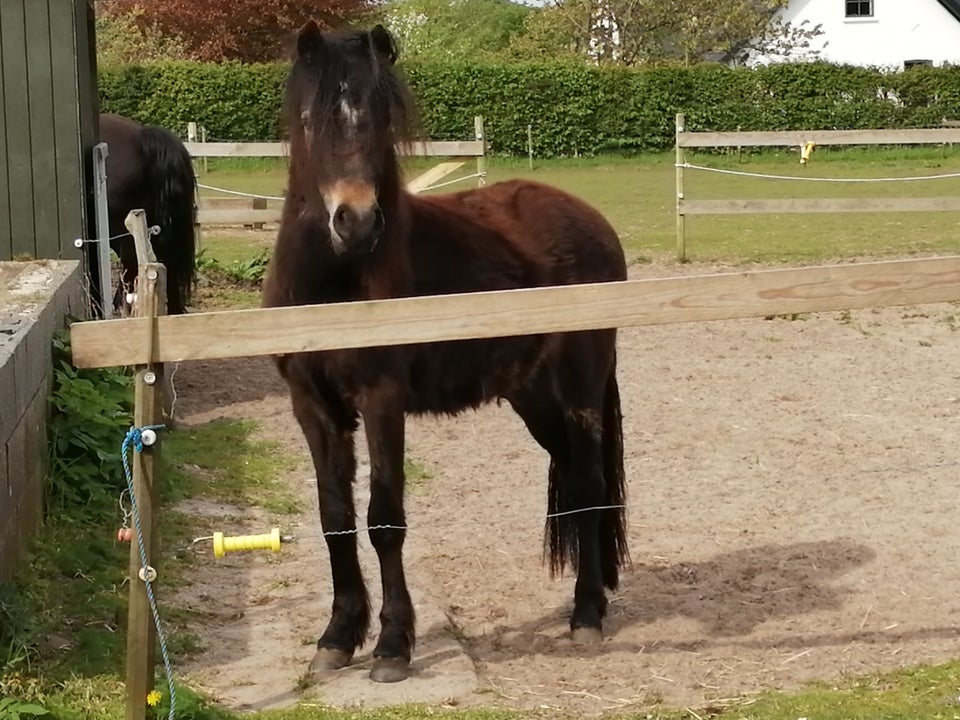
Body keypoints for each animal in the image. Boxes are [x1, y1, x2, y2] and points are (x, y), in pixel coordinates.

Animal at [260, 22, 632, 684]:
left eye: (383, 117)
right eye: (308, 119)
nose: (355, 221)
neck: (336, 282)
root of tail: (590, 221)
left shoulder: (382, 401)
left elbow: (384, 519)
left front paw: (392, 645)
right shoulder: (313, 405)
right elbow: (335, 517)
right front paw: (337, 637)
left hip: (581, 386)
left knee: (589, 483)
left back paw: (587, 613)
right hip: (532, 396)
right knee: (570, 478)